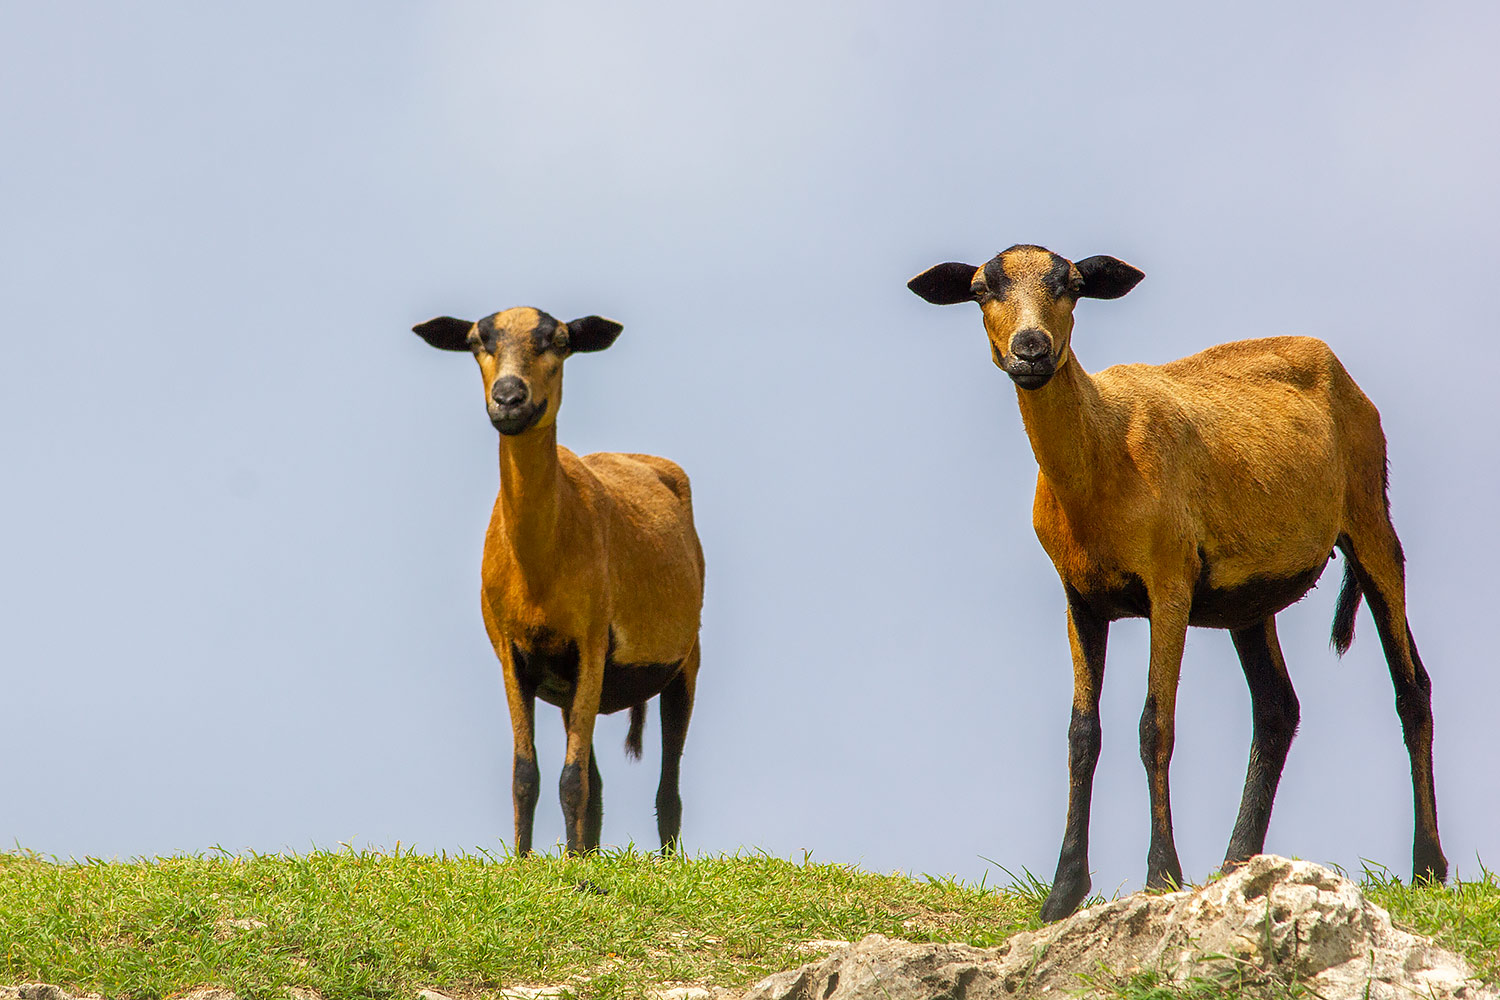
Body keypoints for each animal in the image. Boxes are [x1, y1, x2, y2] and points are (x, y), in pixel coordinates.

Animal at [413, 307, 705, 855]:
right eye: (476, 341)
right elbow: (526, 775)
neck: (539, 571)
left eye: (561, 341)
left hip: (683, 660)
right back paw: (586, 851)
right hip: (571, 686)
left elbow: (571, 780)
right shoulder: (512, 653)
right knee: (599, 785)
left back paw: (663, 860)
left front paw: (567, 867)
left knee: (668, 788)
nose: (509, 397)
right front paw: (528, 861)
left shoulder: (591, 642)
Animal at [908, 244, 1445, 920]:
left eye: (1071, 284)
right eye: (982, 289)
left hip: (1371, 518)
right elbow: (1083, 734)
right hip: (1251, 595)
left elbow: (1153, 727)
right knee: (1277, 709)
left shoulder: (1169, 584)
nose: (1031, 350)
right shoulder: (1080, 598)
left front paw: (1161, 875)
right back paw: (1236, 863)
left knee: (1412, 688)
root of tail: (1341, 372)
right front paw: (1063, 894)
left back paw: (1428, 867)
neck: (1101, 457)